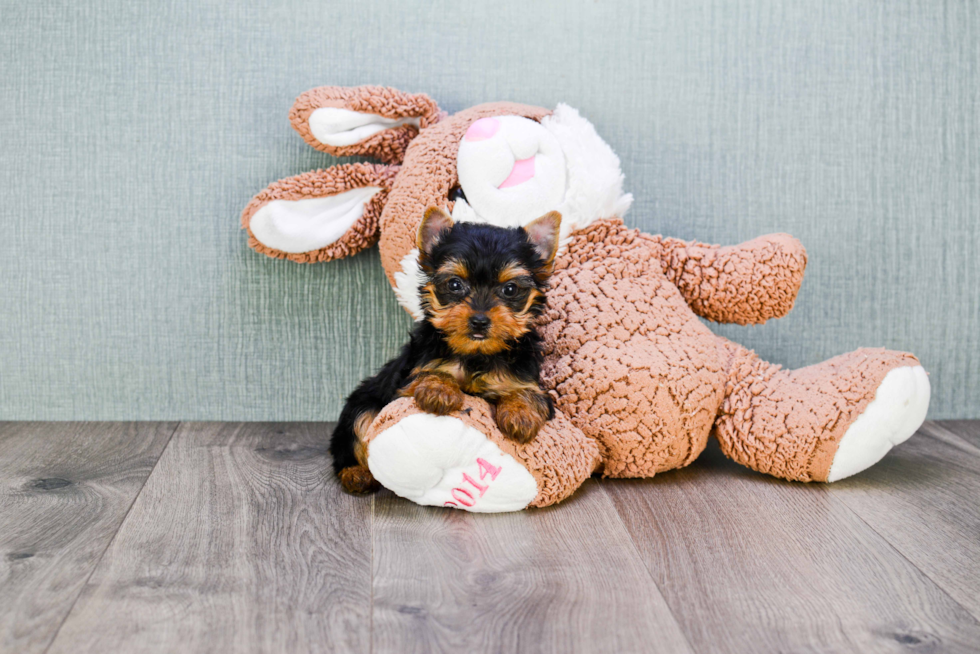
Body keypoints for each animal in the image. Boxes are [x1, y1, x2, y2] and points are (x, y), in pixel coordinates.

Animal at [330, 208, 560, 494]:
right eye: (454, 285)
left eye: (510, 289)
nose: (480, 320)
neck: (476, 353)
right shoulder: (407, 381)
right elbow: (429, 375)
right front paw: (439, 390)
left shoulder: (529, 381)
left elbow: (529, 394)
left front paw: (520, 416)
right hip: (362, 405)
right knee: (354, 434)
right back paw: (355, 474)